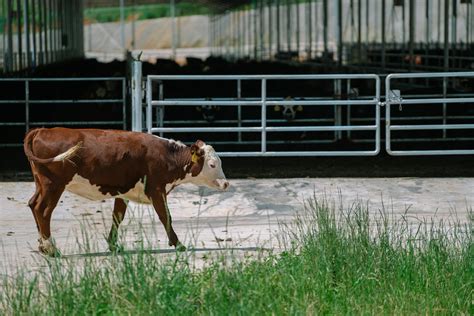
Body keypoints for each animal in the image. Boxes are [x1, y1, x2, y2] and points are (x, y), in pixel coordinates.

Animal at [24, 127, 230, 256]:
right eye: (212, 164)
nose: (226, 183)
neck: (167, 156)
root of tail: (43, 130)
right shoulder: (156, 190)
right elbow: (166, 217)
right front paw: (178, 244)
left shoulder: (123, 193)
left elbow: (117, 217)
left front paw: (114, 245)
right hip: (53, 185)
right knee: (43, 210)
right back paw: (51, 249)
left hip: (41, 184)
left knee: (33, 205)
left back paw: (43, 246)